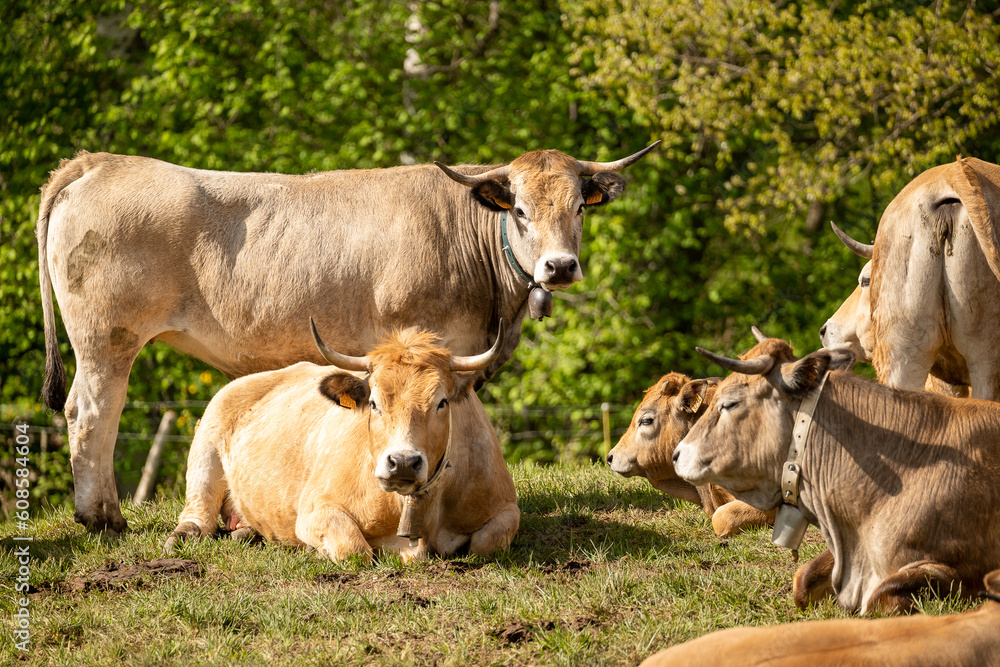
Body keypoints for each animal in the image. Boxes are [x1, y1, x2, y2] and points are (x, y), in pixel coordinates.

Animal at [39, 142, 660, 532]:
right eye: (523, 210)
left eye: (579, 207)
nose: (560, 267)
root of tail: (99, 162)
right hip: (107, 338)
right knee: (91, 413)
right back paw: (102, 517)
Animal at [164, 320, 520, 560]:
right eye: (374, 403)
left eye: (442, 402)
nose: (403, 462)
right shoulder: (315, 508)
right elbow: (354, 549)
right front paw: (317, 551)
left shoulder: (506, 508)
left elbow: (485, 544)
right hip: (206, 446)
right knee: (198, 513)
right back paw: (185, 534)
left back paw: (247, 532)